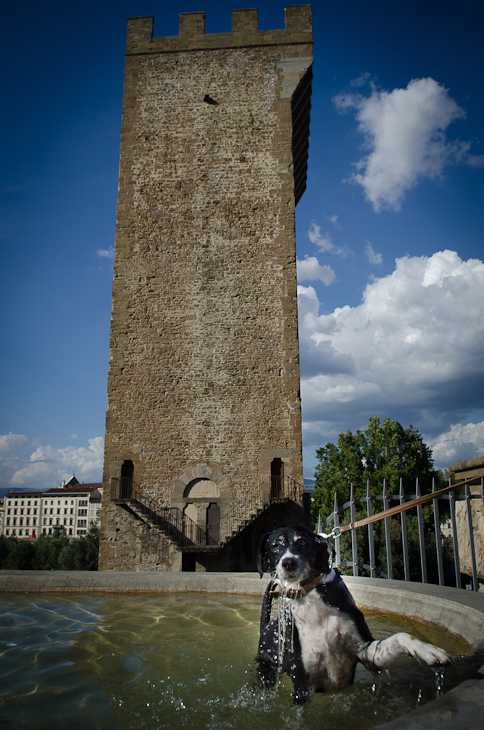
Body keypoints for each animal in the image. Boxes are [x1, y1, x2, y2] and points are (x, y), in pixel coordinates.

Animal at [258, 524, 450, 700]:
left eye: (303, 542)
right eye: (275, 545)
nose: (288, 562)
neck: (311, 598)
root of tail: (266, 628)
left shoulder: (369, 653)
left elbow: (401, 637)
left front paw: (429, 650)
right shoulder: (302, 685)